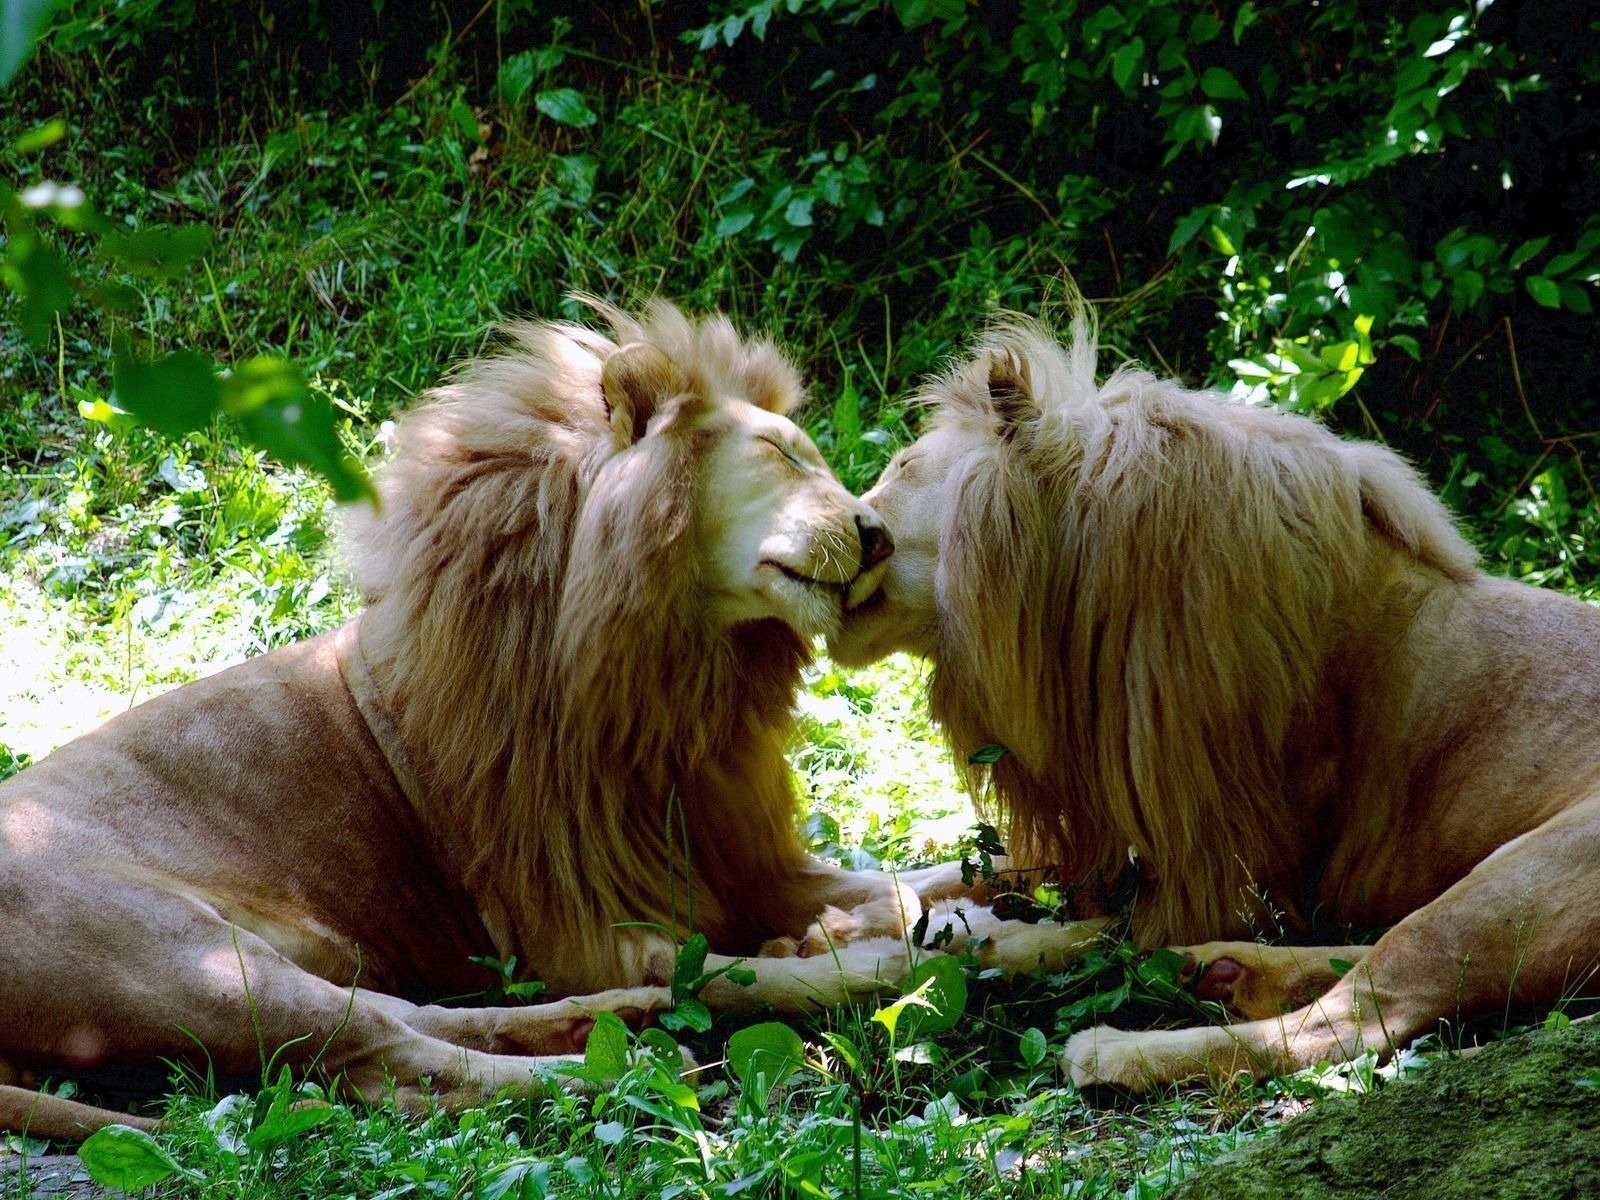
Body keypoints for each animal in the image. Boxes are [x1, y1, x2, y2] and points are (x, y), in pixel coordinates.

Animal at [0, 300, 919, 1140]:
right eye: (778, 453)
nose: (879, 536)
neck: (677, 678)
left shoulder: (732, 863)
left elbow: (901, 882)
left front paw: (899, 916)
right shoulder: (582, 929)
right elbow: (762, 979)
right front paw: (892, 955)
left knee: (413, 1025)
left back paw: (619, 1018)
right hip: (195, 963)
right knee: (398, 1066)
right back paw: (625, 1065)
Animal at [829, 309, 1600, 1090]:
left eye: (902, 467)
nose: (842, 525)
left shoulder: (1229, 858)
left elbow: (1072, 928)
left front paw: (966, 940)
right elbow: (960, 872)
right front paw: (857, 912)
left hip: (1526, 873)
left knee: (1351, 1021)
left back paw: (1117, 1048)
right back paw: (1215, 970)